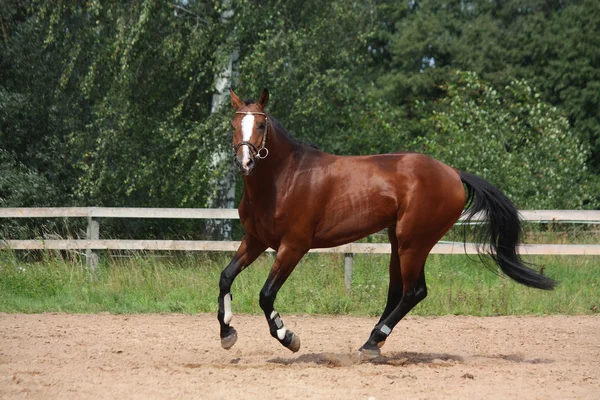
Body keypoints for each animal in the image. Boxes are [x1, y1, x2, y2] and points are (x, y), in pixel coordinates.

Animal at [217, 87, 556, 360]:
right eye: (233, 125)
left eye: (261, 124)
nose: (245, 163)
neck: (284, 179)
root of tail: (453, 174)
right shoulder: (255, 240)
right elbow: (225, 277)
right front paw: (227, 334)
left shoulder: (294, 246)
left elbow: (265, 295)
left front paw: (289, 338)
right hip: (399, 241)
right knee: (398, 291)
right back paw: (372, 342)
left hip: (413, 242)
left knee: (413, 292)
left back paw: (372, 342)